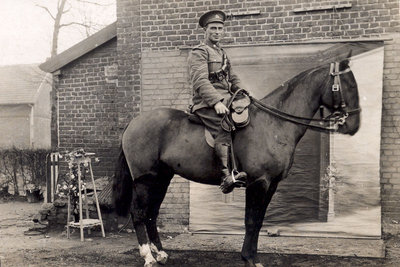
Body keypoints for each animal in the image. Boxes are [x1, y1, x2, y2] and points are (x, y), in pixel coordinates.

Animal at [111, 52, 360, 267]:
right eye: (348, 86)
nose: (354, 125)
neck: (273, 124)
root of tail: (134, 123)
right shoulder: (258, 183)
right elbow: (251, 220)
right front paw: (248, 259)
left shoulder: (271, 185)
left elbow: (258, 221)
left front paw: (253, 257)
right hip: (145, 180)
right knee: (139, 213)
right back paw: (148, 257)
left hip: (162, 179)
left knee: (152, 213)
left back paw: (161, 253)